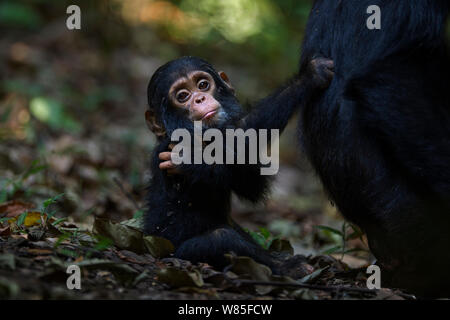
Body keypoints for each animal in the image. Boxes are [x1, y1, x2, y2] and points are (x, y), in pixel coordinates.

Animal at [145, 56, 334, 274]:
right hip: (179, 253)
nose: (199, 99)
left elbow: (246, 161)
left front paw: (310, 76)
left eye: (203, 85)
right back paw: (290, 267)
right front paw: (192, 159)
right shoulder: (174, 143)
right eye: (182, 96)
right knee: (221, 239)